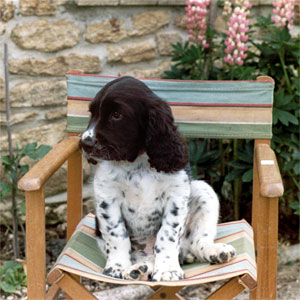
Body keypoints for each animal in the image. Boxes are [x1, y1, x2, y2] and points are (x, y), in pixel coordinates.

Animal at [79, 75, 237, 282]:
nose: (84, 143)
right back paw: (138, 269)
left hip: (204, 191)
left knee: (197, 241)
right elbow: (117, 234)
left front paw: (168, 270)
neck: (136, 163)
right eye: (92, 113)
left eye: (116, 115)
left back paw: (215, 251)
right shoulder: (107, 197)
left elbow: (167, 234)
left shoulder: (176, 195)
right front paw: (117, 267)